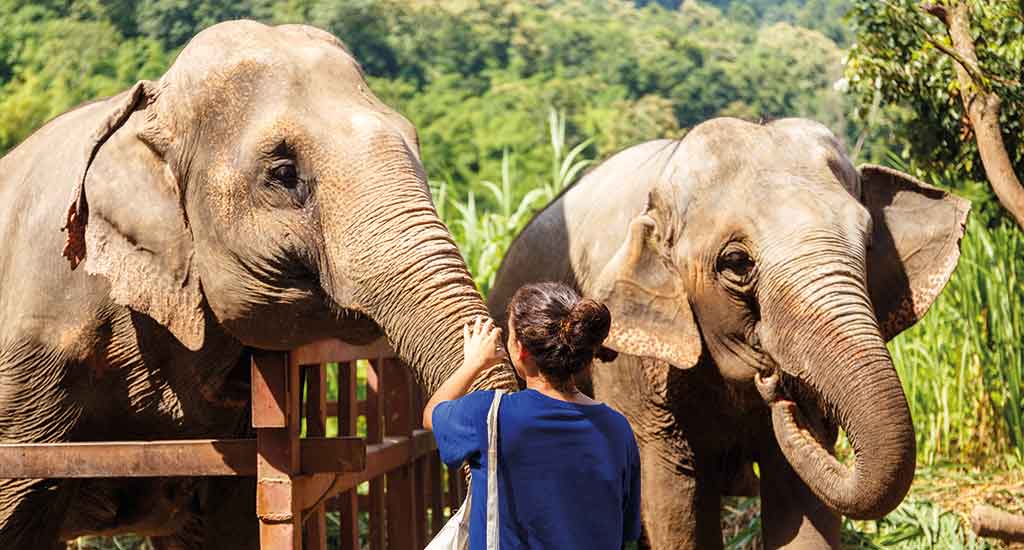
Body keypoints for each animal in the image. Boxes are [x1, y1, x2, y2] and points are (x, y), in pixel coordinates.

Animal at [488, 117, 969, 549]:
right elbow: (670, 497)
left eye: (868, 244)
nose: (777, 384)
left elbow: (801, 497)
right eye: (736, 262)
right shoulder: (629, 367)